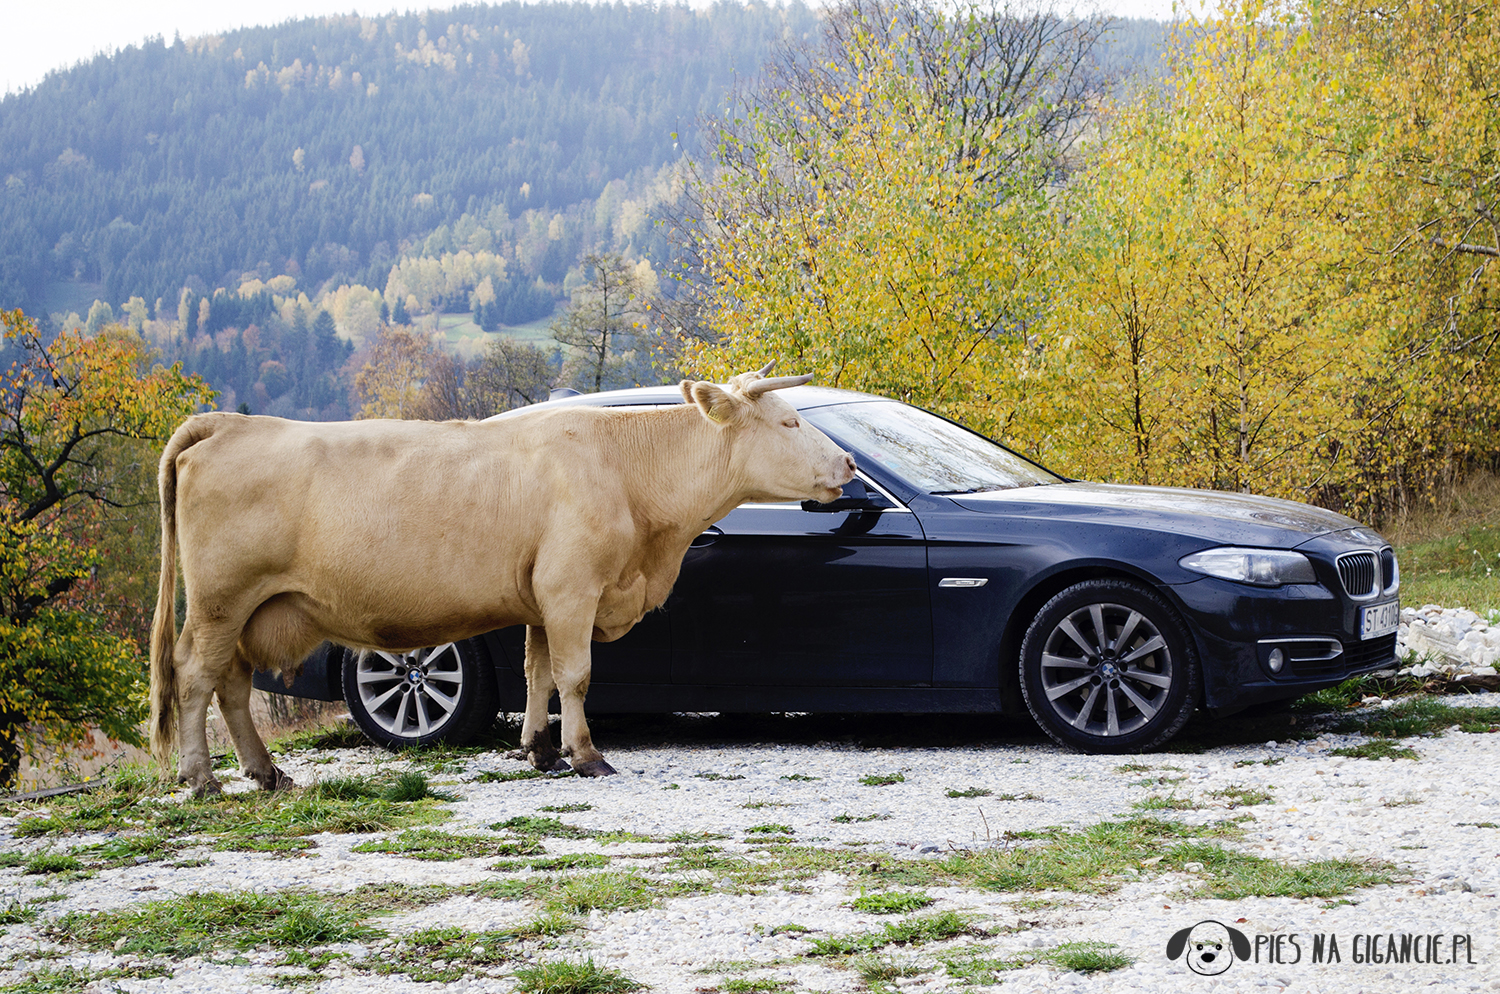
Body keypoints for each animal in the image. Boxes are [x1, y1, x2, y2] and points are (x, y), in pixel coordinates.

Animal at [155, 368, 858, 797]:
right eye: (789, 423)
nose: (850, 463)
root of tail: (228, 422)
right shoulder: (573, 589)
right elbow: (575, 676)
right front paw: (586, 755)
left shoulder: (543, 601)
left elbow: (537, 674)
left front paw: (540, 751)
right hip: (220, 601)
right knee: (195, 675)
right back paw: (202, 779)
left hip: (249, 609)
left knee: (231, 683)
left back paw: (266, 772)